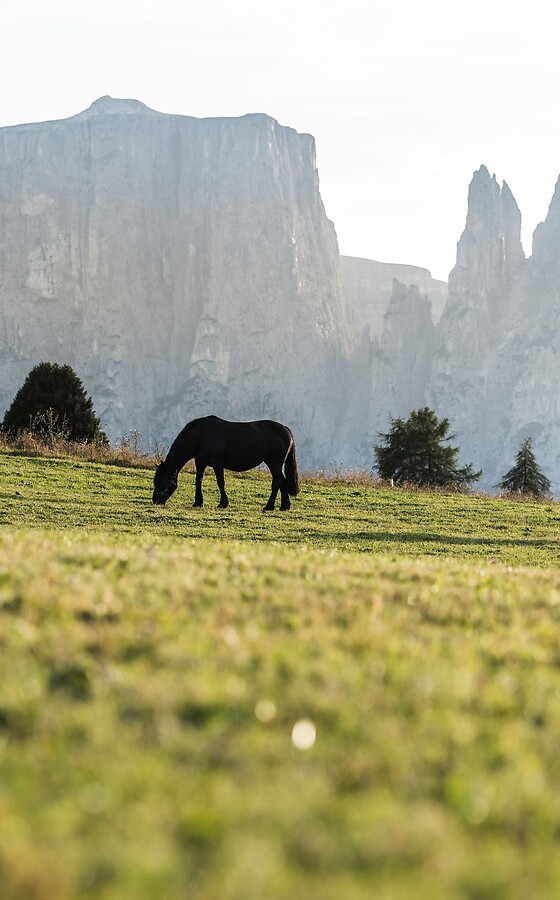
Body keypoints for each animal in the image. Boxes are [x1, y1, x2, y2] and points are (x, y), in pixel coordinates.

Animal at [152, 415, 299, 512]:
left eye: (163, 481)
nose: (155, 501)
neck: (200, 435)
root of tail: (286, 430)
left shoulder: (217, 463)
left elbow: (220, 482)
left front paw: (223, 503)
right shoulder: (200, 462)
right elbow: (198, 480)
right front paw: (198, 502)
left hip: (274, 462)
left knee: (277, 481)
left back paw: (269, 506)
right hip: (272, 463)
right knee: (282, 480)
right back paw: (284, 506)